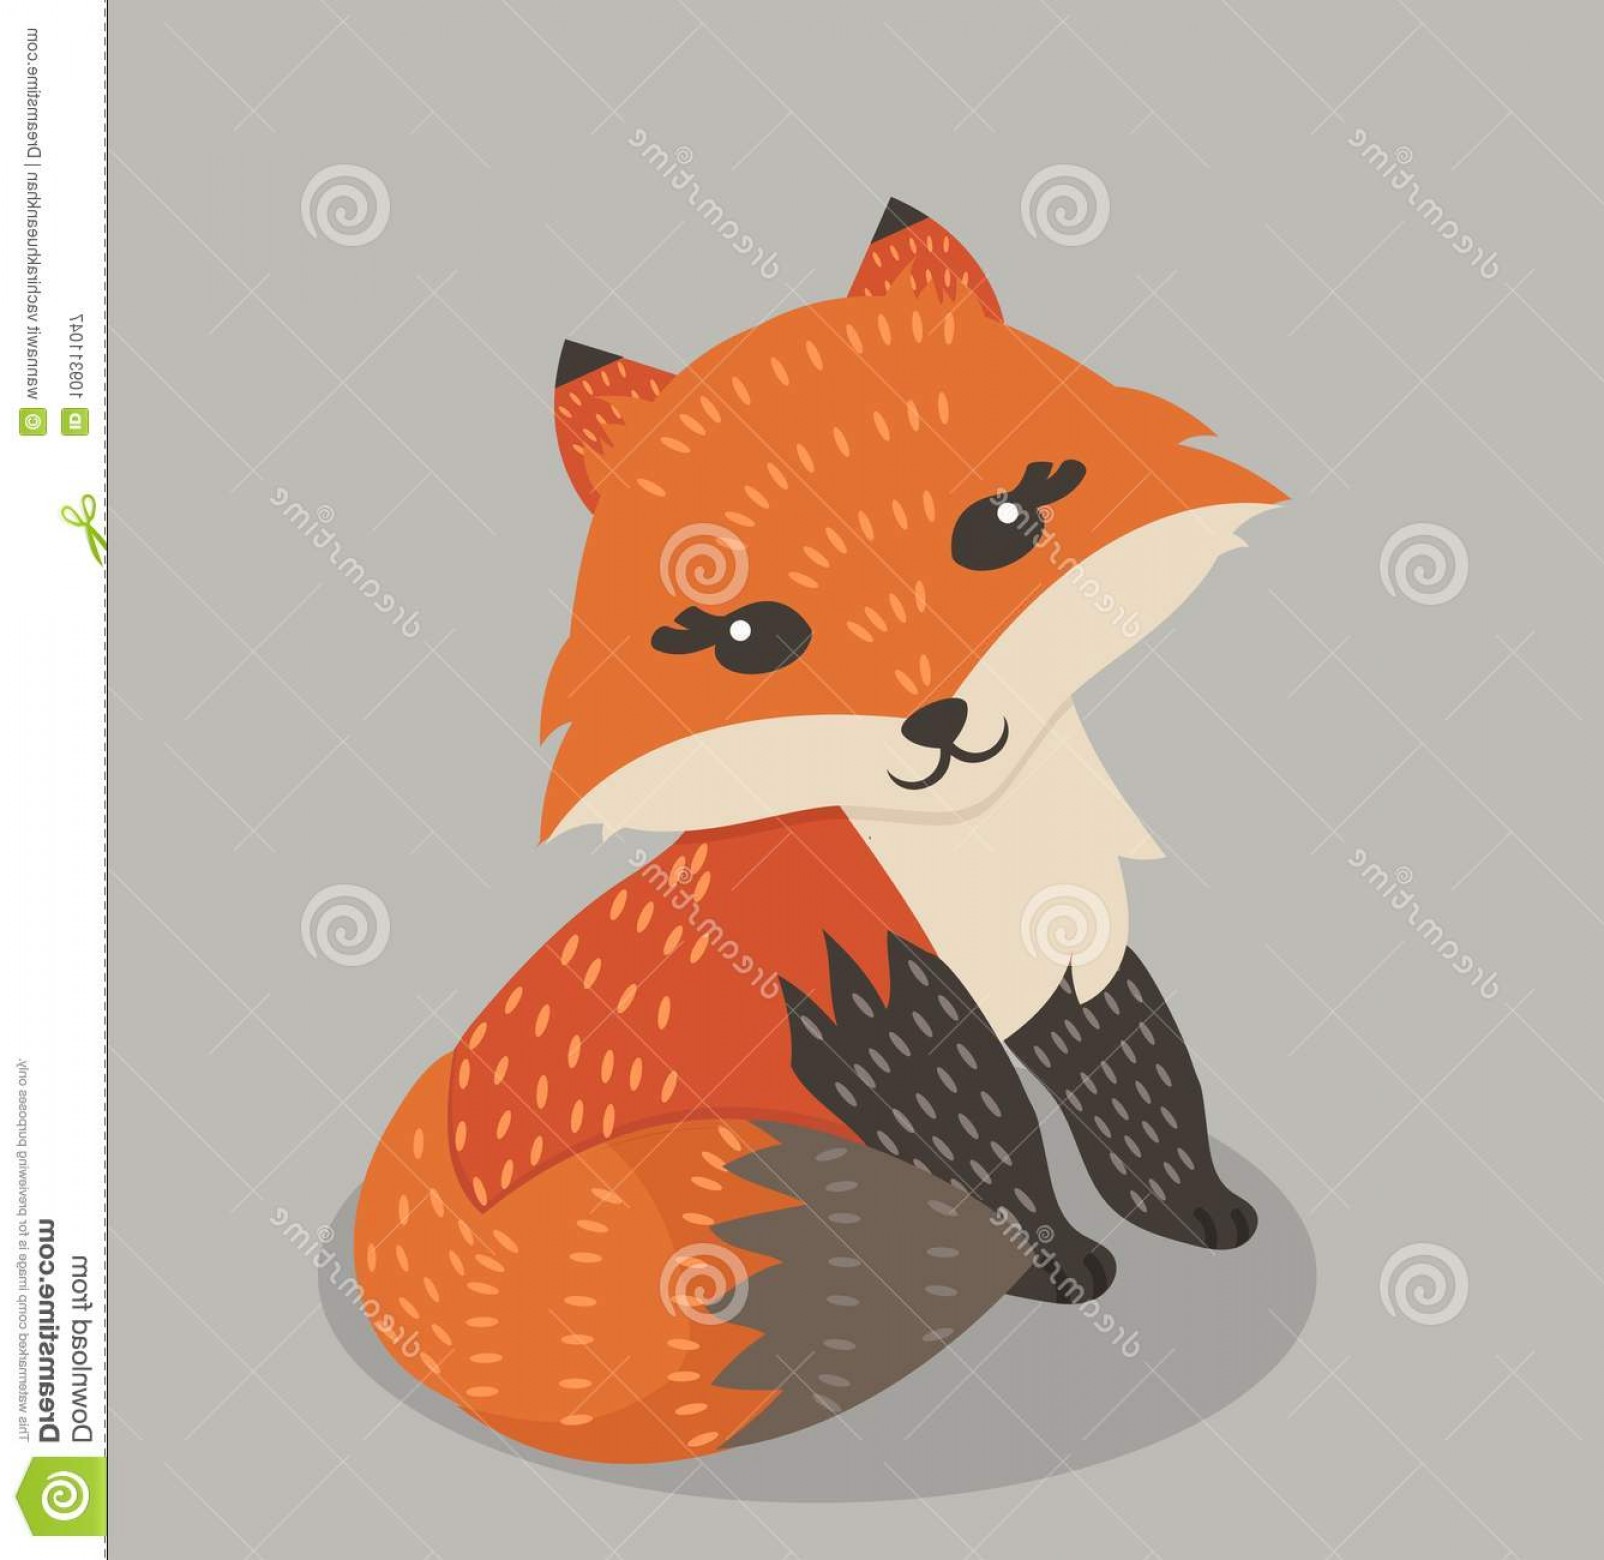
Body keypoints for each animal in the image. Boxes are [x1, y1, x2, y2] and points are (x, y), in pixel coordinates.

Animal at [355, 197, 1286, 1464]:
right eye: (746, 637)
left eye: (1003, 521)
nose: (935, 719)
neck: (974, 854)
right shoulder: (869, 1008)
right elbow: (997, 1153)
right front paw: (1059, 1269)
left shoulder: (1068, 948)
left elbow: (1139, 1088)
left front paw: (1189, 1211)